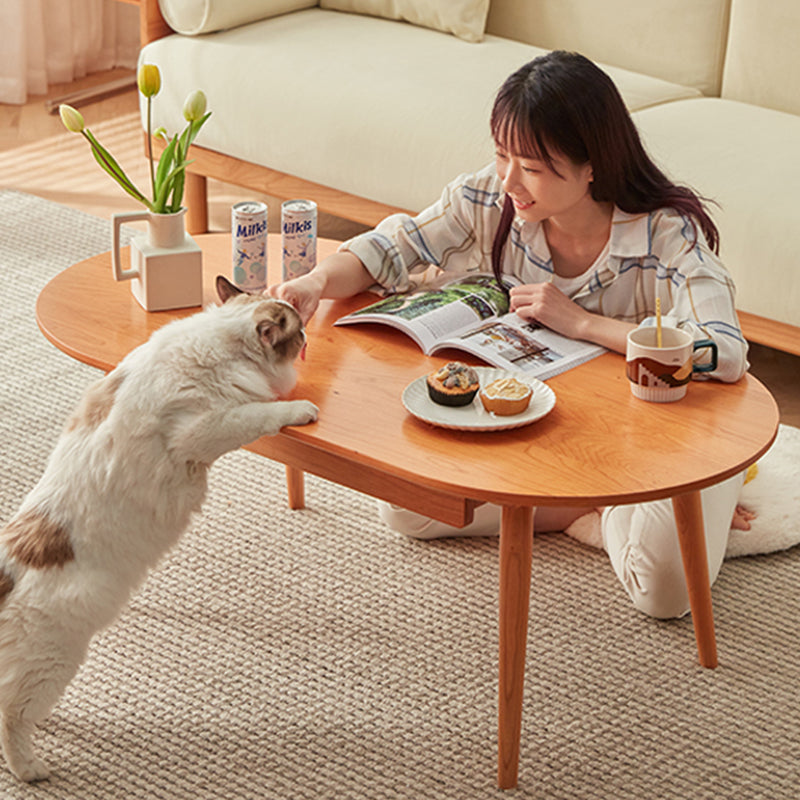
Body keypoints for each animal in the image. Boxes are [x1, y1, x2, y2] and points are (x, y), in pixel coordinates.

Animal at [0, 276, 318, 780]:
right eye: (298, 330)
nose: (309, 335)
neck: (219, 340)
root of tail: (8, 570)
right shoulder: (207, 431)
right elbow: (263, 415)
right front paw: (301, 409)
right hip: (54, 660)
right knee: (12, 717)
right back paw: (32, 769)